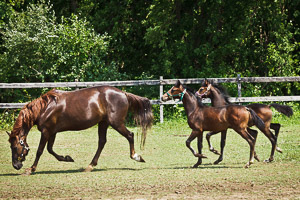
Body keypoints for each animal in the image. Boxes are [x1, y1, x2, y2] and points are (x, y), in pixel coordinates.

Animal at [7, 86, 152, 175]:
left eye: (14, 147)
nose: (15, 165)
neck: (45, 108)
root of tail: (124, 94)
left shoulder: (46, 131)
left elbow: (40, 151)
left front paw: (30, 169)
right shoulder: (52, 132)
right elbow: (50, 149)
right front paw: (67, 158)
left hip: (116, 123)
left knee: (130, 135)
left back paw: (136, 157)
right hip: (103, 123)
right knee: (102, 142)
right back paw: (90, 166)